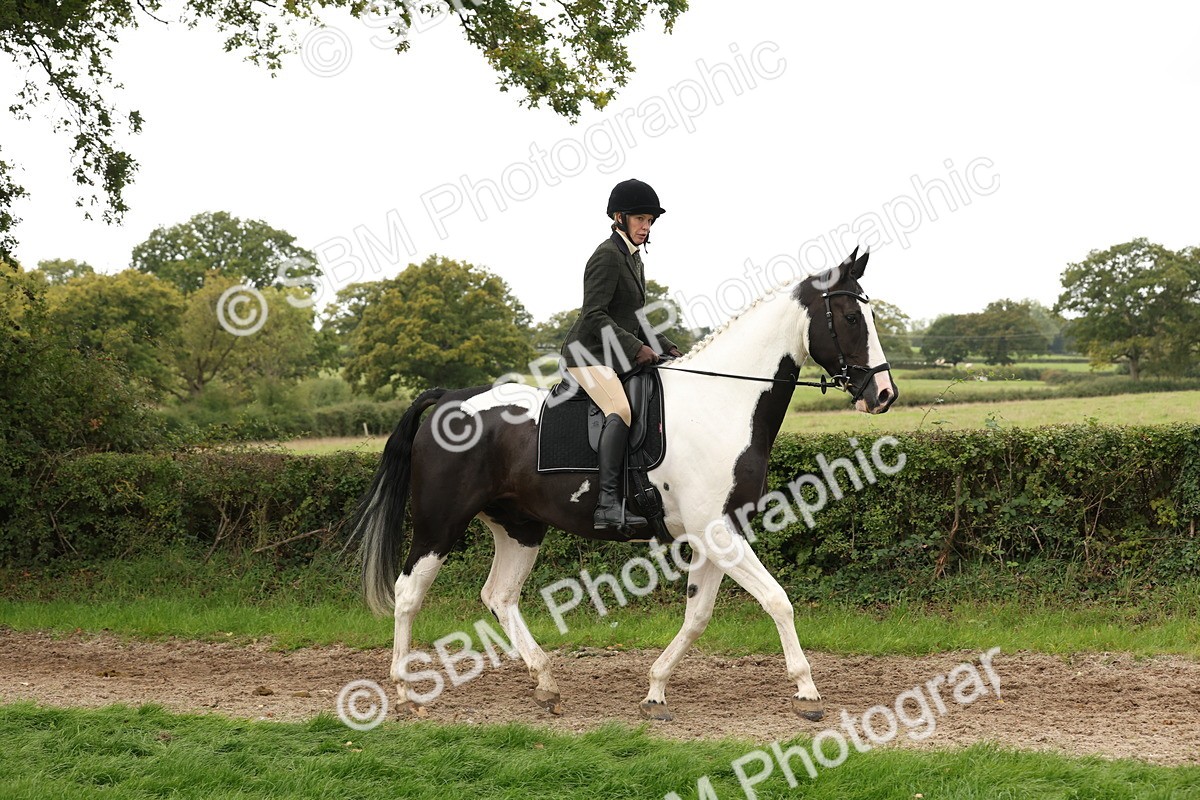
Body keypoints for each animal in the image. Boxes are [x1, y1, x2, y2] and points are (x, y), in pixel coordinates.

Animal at [350, 246, 898, 723]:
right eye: (850, 317)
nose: (884, 394)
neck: (722, 401)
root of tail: (449, 398)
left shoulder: (717, 532)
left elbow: (698, 615)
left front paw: (655, 690)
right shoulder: (718, 531)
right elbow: (777, 600)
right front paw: (807, 692)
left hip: (520, 525)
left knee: (499, 596)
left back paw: (546, 683)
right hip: (440, 522)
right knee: (409, 592)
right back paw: (404, 692)